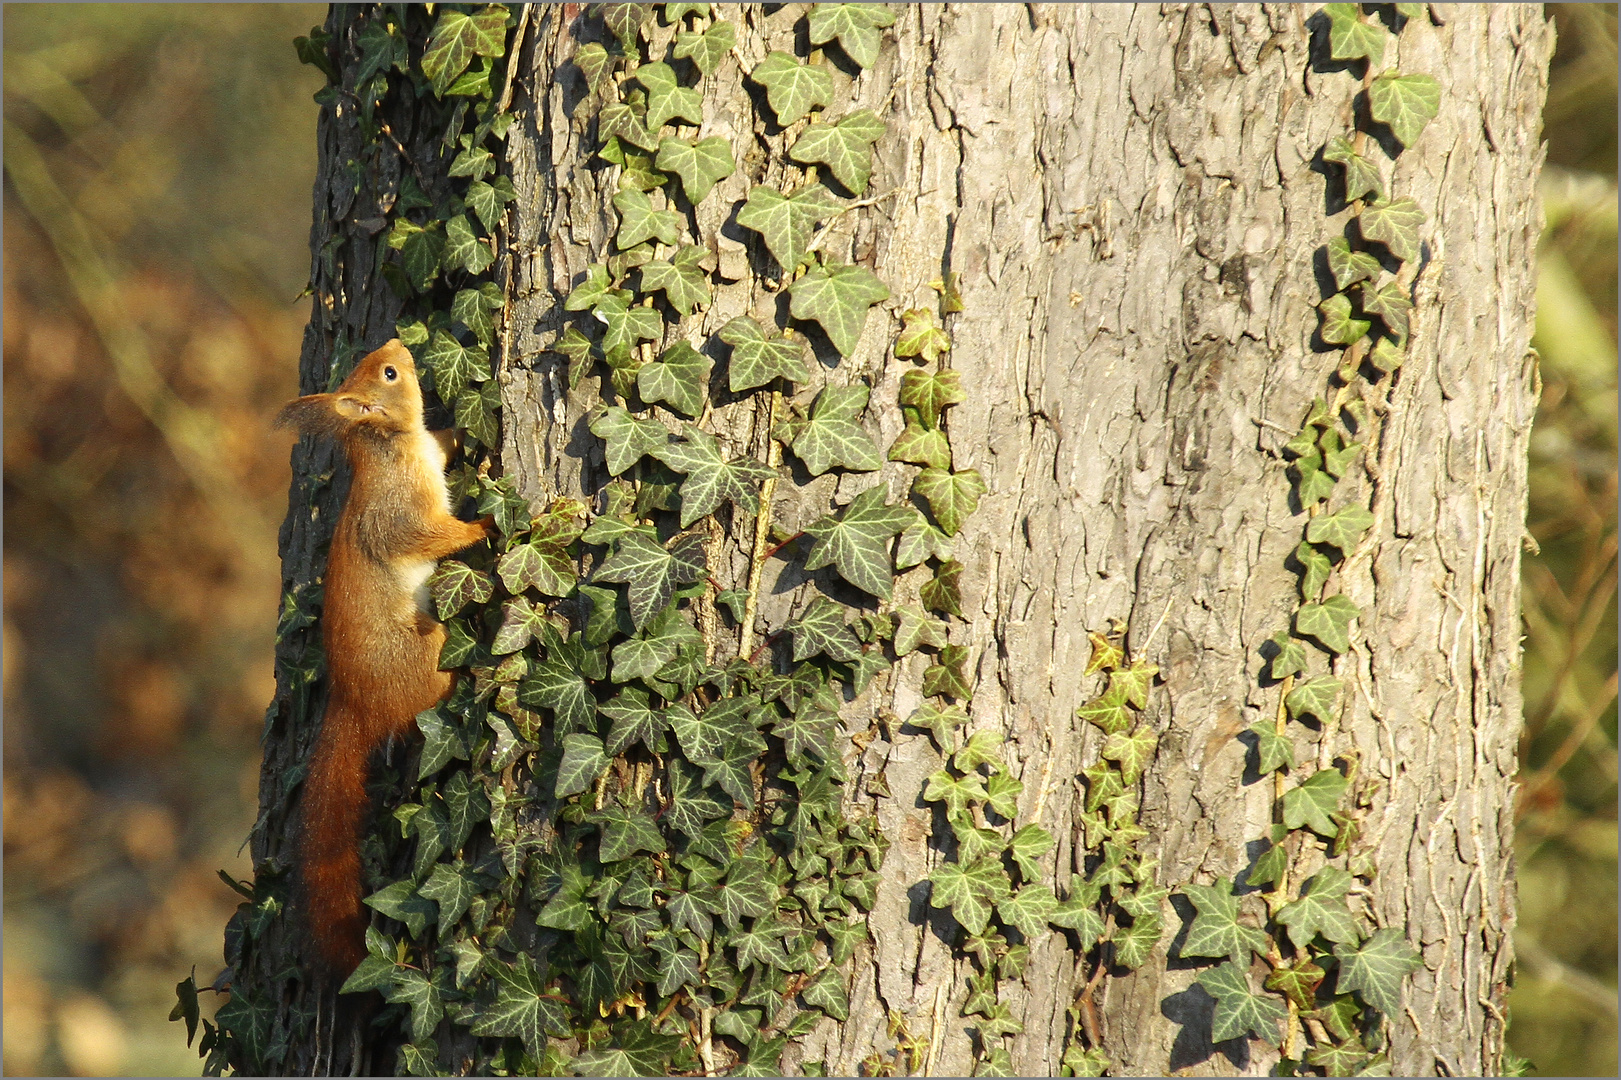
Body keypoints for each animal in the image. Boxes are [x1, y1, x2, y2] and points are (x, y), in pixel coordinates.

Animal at [275, 338, 489, 972]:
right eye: (391, 374)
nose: (399, 342)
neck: (391, 444)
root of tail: (356, 702)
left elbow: (446, 443)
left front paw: (466, 433)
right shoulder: (399, 510)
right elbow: (426, 536)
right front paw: (483, 526)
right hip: (426, 652)